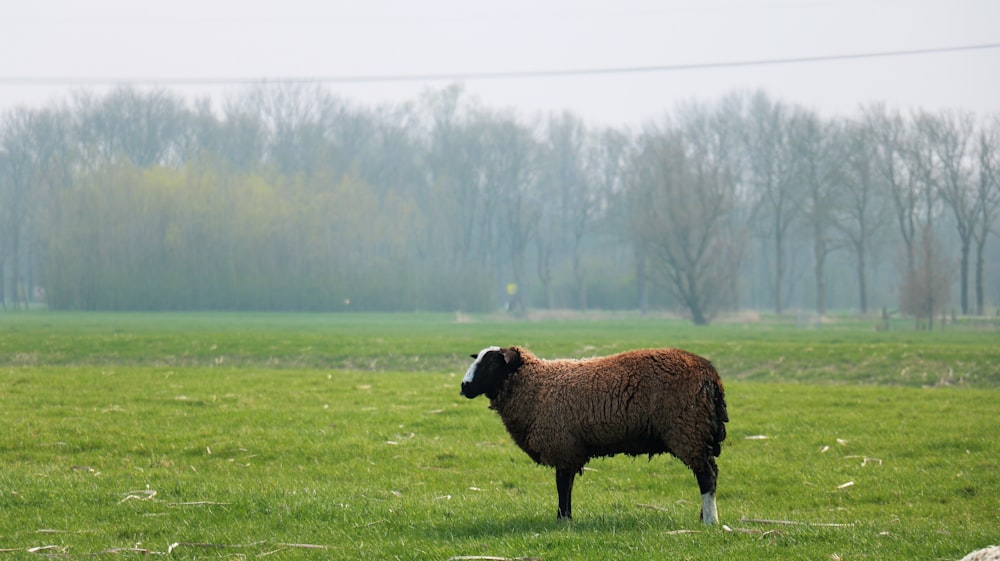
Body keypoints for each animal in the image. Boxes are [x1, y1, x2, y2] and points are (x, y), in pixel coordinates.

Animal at [460, 344, 728, 524]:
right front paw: (566, 518)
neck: (537, 387)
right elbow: (567, 486)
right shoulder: (569, 449)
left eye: (491, 363)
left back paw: (710, 520)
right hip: (696, 432)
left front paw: (562, 520)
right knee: (709, 473)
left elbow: (562, 486)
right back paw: (702, 517)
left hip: (688, 429)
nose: (464, 386)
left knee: (707, 475)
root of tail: (711, 375)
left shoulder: (563, 445)